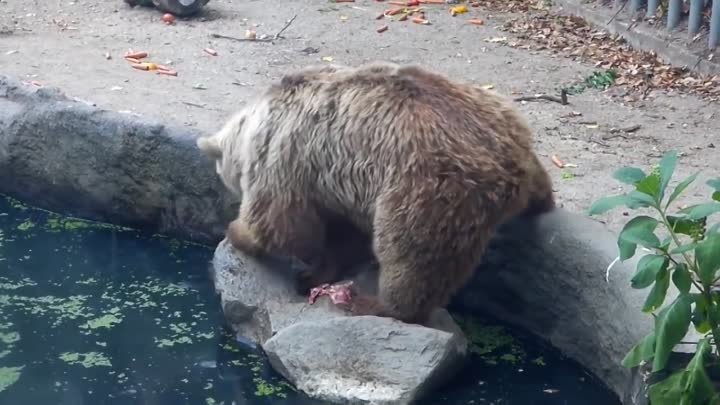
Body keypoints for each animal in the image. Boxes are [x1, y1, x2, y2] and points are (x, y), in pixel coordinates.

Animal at [197, 60, 556, 326]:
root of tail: (506, 167)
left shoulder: (285, 155)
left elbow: (282, 225)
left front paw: (238, 232)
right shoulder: (333, 179)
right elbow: (342, 237)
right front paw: (315, 274)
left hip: (428, 191)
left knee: (413, 256)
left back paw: (378, 305)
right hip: (504, 121)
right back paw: (543, 202)